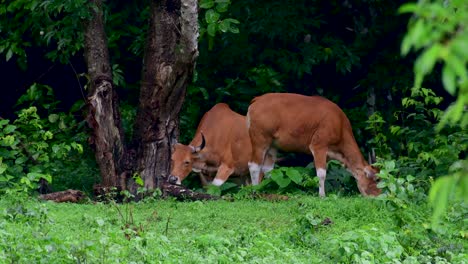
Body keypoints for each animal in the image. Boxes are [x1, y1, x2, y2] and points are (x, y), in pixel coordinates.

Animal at [245, 94, 380, 197]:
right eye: (377, 179)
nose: (378, 196)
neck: (340, 125)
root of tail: (256, 100)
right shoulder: (318, 145)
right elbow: (321, 173)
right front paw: (322, 195)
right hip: (260, 139)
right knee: (253, 165)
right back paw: (255, 191)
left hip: (273, 145)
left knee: (268, 169)